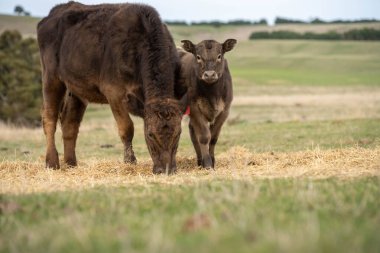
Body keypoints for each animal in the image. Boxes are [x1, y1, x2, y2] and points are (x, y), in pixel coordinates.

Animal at [37, 1, 184, 174]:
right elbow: (127, 128)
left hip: (77, 88)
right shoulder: (114, 92)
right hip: (51, 78)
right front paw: (129, 161)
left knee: (69, 123)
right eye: (150, 135)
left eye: (178, 134)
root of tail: (56, 10)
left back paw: (71, 163)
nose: (166, 169)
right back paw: (52, 162)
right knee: (49, 119)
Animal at [179, 39, 238, 168]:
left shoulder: (224, 111)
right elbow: (204, 137)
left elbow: (213, 137)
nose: (210, 74)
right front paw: (207, 163)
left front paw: (212, 161)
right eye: (198, 57)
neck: (212, 94)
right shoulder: (194, 109)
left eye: (219, 56)